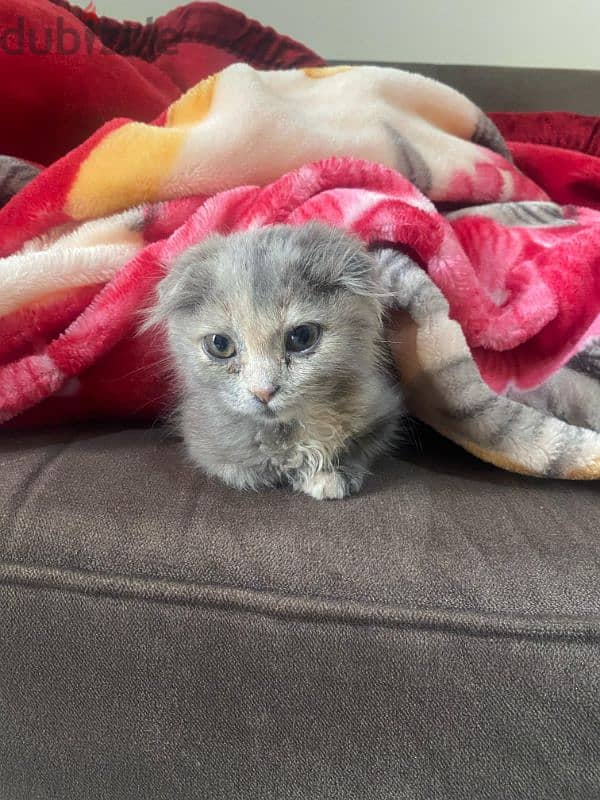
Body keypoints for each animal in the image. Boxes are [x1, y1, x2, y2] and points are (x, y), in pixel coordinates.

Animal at [148, 223, 404, 500]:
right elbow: (247, 469)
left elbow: (362, 447)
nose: (263, 392)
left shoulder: (383, 410)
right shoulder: (203, 441)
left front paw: (331, 475)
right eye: (220, 345)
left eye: (301, 337)